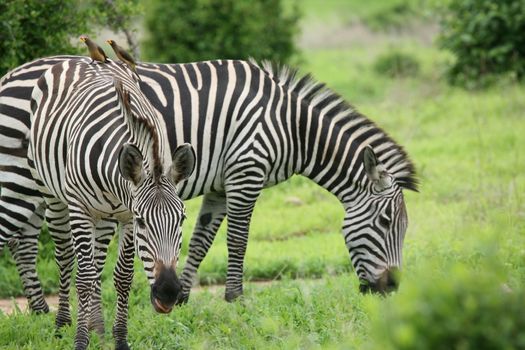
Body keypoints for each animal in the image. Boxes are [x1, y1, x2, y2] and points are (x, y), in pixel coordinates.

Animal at [1, 55, 418, 312]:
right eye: (386, 223)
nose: (393, 288)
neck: (291, 128)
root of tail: (11, 74)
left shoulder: (220, 185)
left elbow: (202, 240)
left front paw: (183, 295)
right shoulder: (246, 171)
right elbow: (238, 239)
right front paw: (236, 298)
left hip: (43, 186)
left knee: (24, 240)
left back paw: (40, 310)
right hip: (20, 176)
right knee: (19, 236)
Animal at [27, 58, 194, 348]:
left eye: (182, 219)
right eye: (142, 222)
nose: (169, 293)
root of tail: (80, 58)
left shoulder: (125, 214)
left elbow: (123, 277)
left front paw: (120, 340)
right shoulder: (82, 209)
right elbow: (83, 278)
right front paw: (80, 341)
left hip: (104, 216)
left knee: (96, 265)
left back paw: (99, 329)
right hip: (53, 196)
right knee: (67, 259)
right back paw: (62, 325)